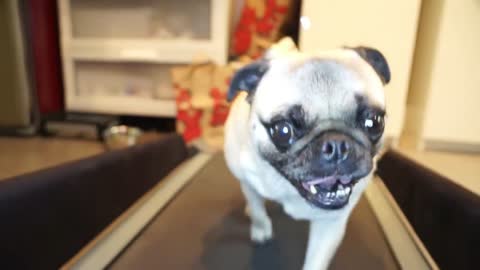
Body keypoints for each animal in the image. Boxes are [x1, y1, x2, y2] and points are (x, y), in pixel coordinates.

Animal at [225, 45, 390, 268]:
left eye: (374, 122)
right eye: (283, 131)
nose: (337, 145)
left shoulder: (330, 224)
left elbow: (316, 262)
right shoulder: (248, 181)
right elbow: (258, 210)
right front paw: (261, 229)